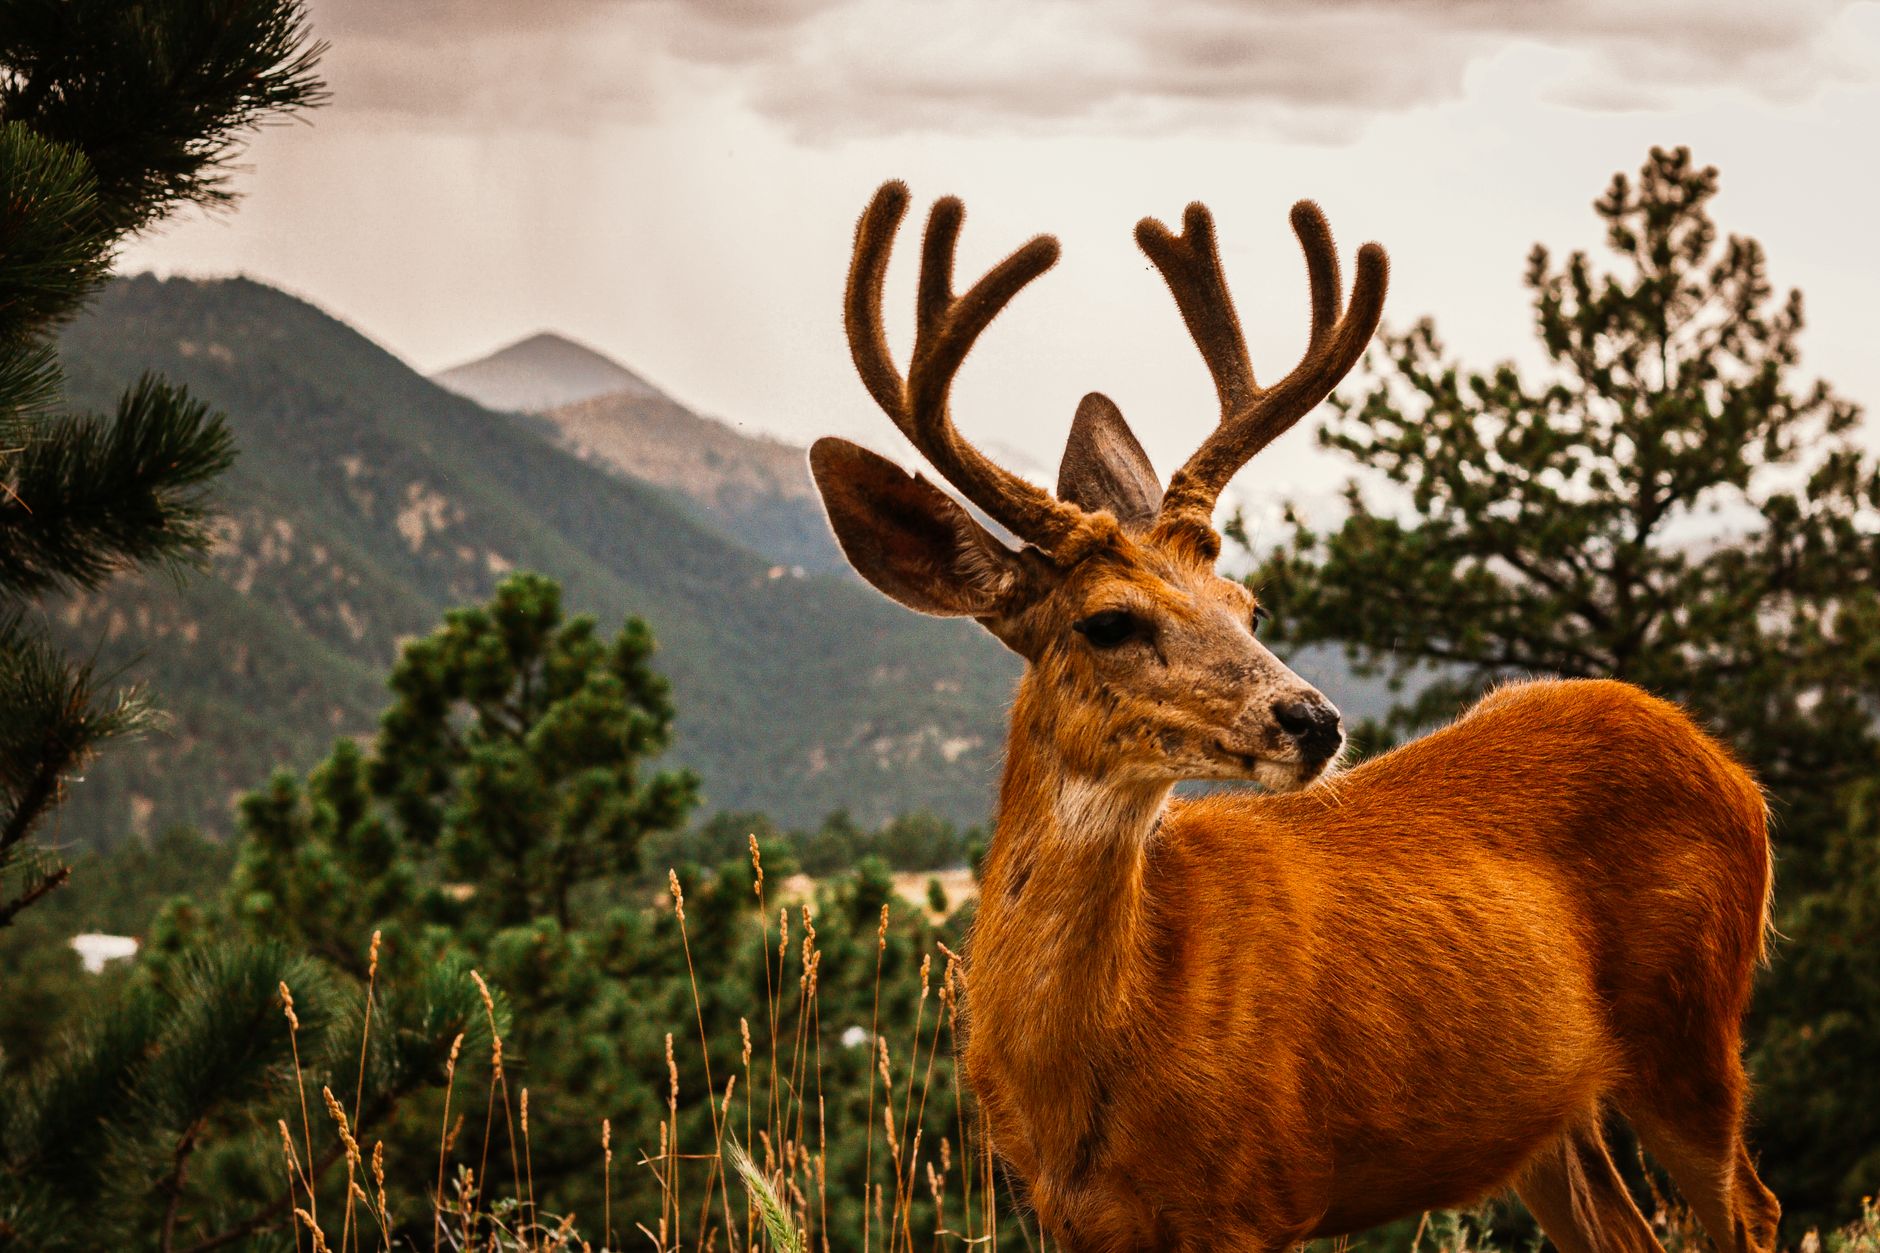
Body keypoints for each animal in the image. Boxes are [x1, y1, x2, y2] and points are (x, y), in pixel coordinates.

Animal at [807, 181, 1781, 1253]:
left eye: (1249, 606)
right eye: (1108, 620)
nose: (1312, 719)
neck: (1099, 1061)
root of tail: (1732, 767)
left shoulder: (1256, 1190)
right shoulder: (1066, 1212)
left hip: (1691, 1020)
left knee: (1753, 1207)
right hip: (1546, 1113)